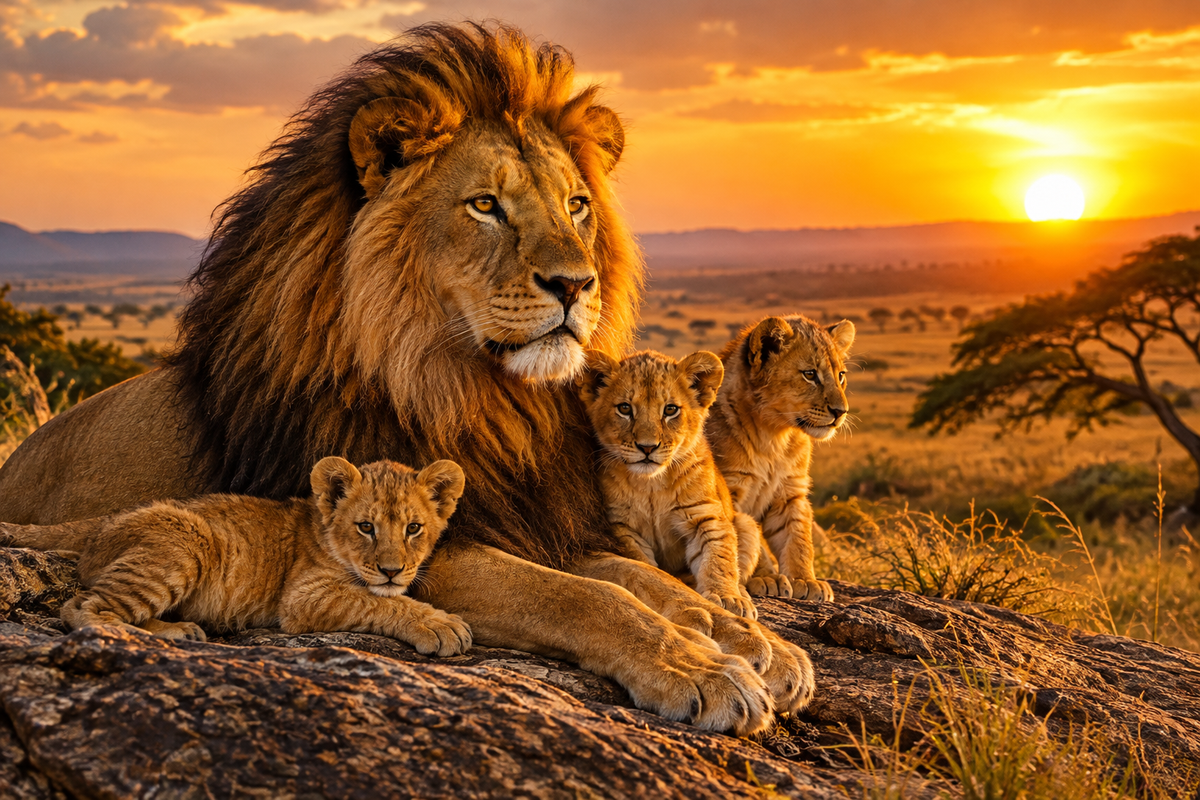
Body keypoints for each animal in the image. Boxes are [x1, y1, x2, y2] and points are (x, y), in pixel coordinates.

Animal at [0, 457, 473, 655]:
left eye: (413, 528)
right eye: (366, 527)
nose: (392, 571)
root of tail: (103, 520)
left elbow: (384, 598)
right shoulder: (302, 598)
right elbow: (377, 602)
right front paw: (442, 626)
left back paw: (180, 630)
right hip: (185, 544)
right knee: (84, 608)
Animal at [707, 315, 856, 602]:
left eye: (841, 376)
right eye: (810, 375)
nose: (841, 412)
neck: (775, 436)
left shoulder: (790, 491)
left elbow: (798, 537)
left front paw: (805, 581)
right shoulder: (727, 488)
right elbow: (746, 537)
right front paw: (766, 578)